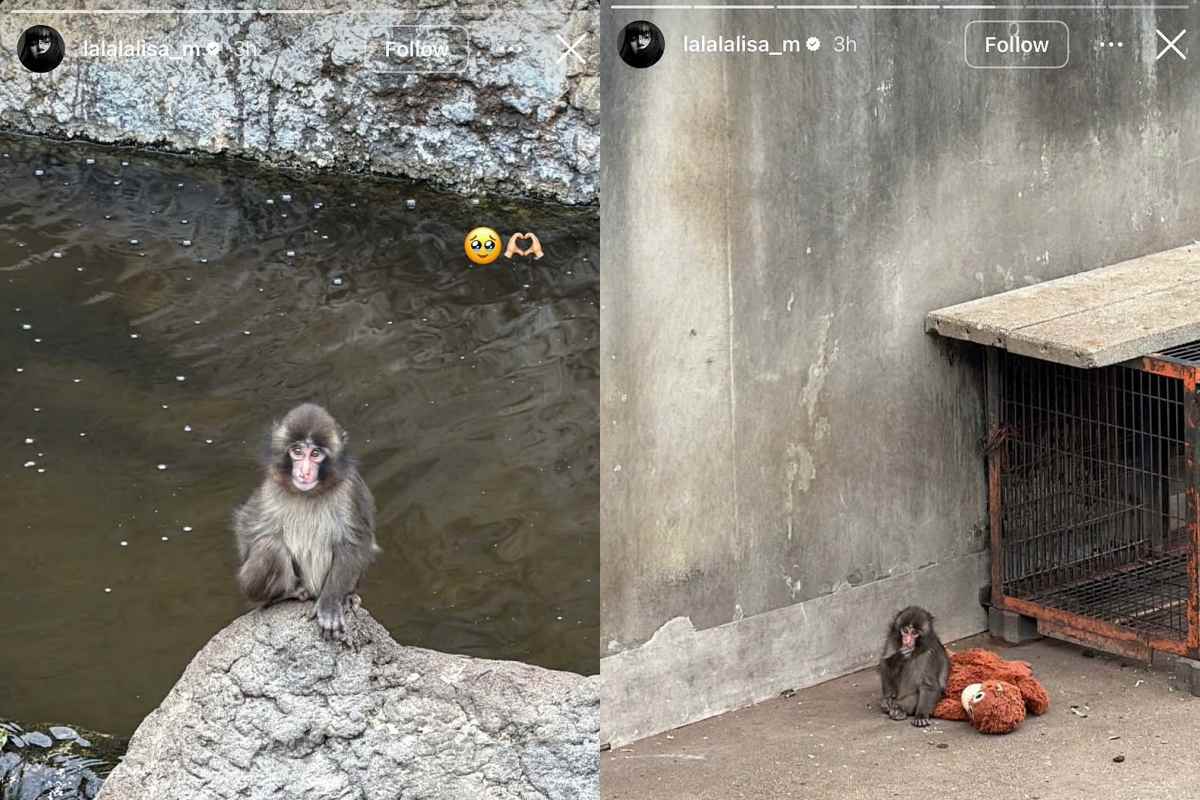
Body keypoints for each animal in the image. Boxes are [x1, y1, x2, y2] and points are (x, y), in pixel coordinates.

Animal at [232, 403, 379, 642]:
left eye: (316, 454)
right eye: (298, 452)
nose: (304, 472)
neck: (310, 493)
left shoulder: (351, 490)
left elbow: (355, 542)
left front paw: (330, 604)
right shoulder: (271, 487)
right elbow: (247, 527)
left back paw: (346, 596)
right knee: (269, 546)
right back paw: (287, 593)